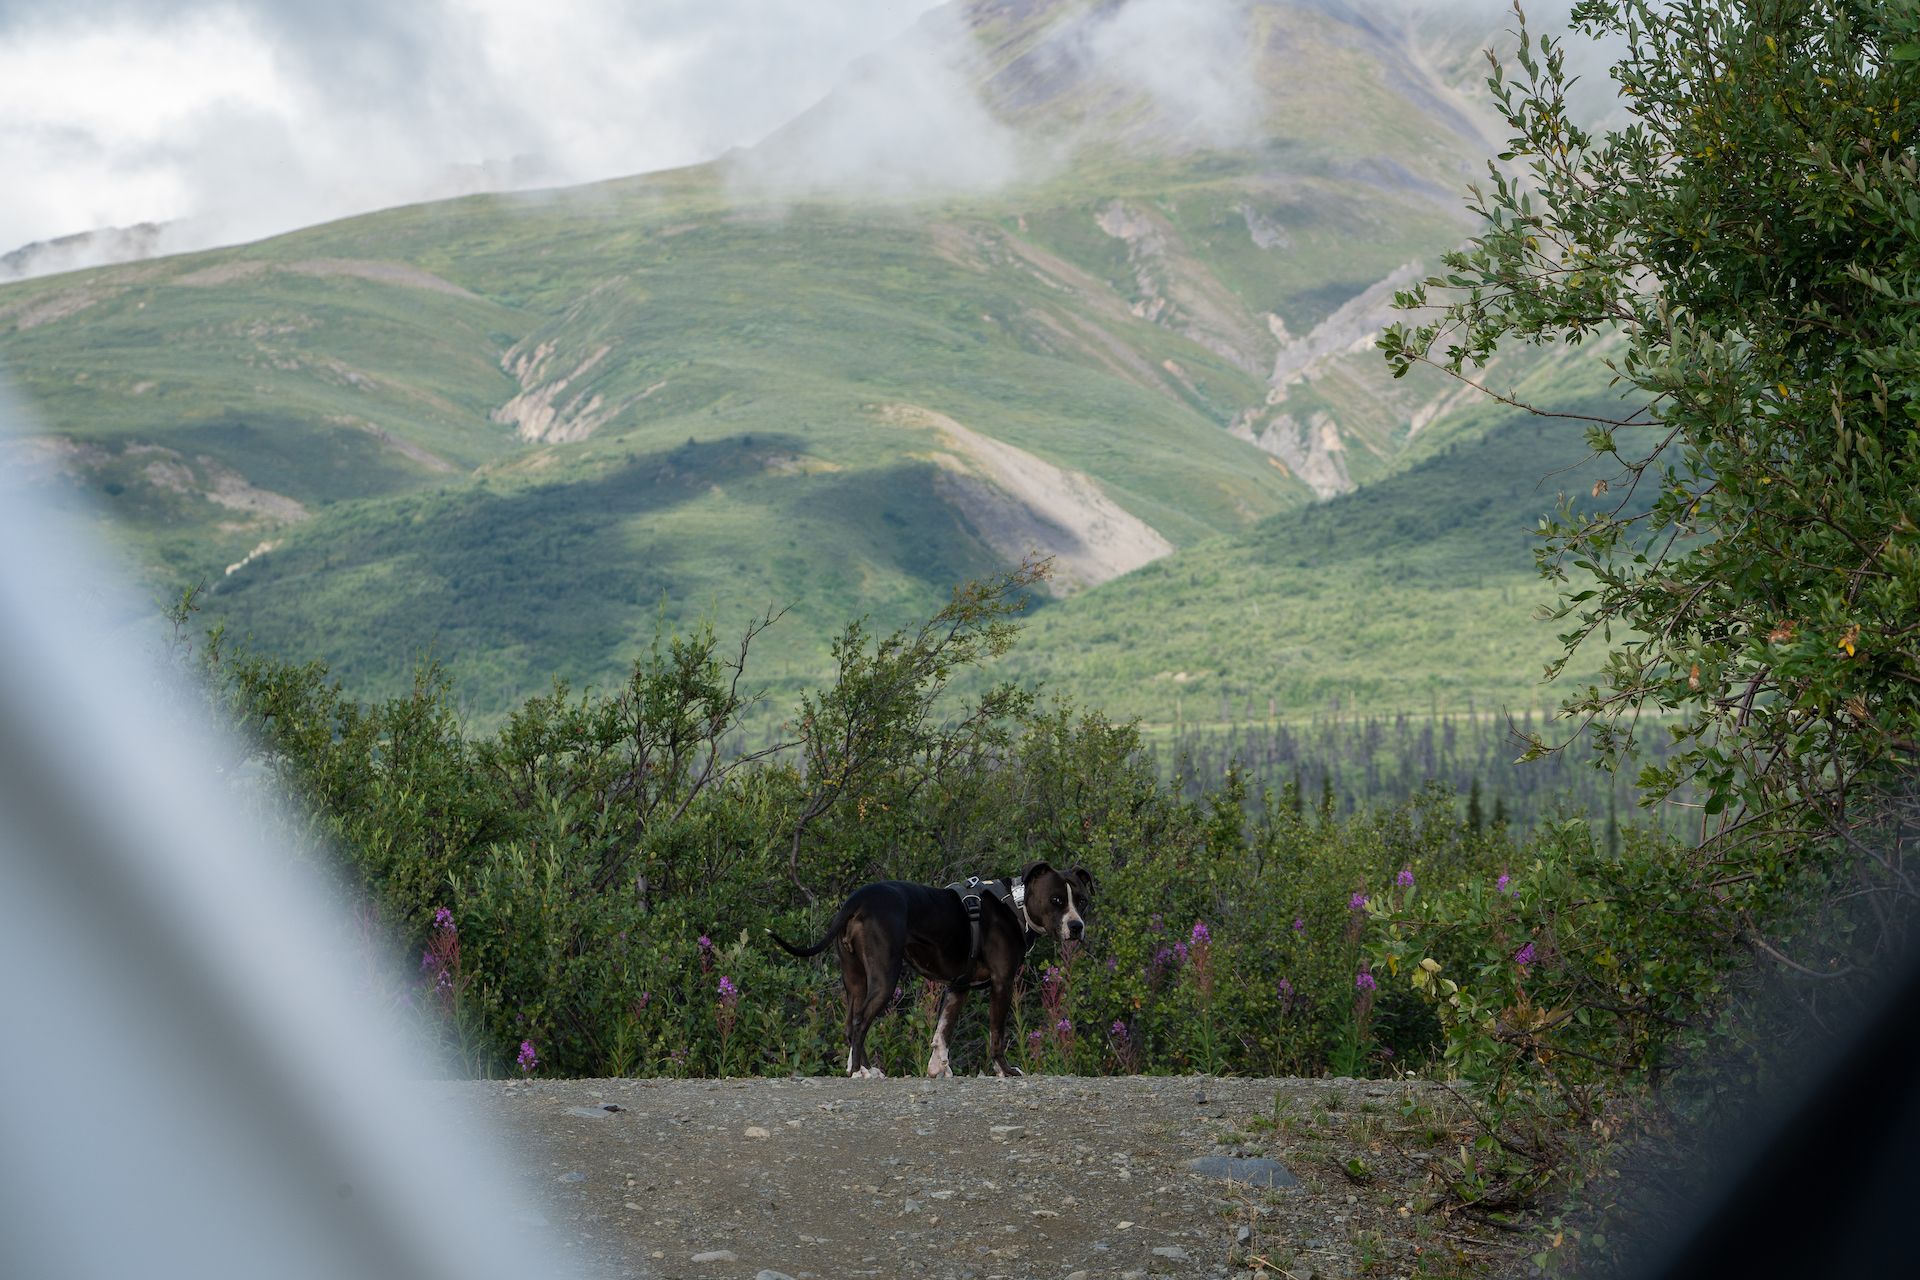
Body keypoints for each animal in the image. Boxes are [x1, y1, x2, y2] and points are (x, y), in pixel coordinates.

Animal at [768, 859, 1098, 1082]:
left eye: (1082, 900)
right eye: (1056, 900)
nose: (1076, 926)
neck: (1016, 905)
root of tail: (857, 899)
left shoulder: (958, 987)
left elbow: (943, 1030)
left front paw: (938, 1067)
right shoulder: (1002, 984)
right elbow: (996, 1034)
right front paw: (1004, 1070)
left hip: (855, 979)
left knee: (852, 1022)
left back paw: (861, 1067)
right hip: (885, 976)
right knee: (861, 1021)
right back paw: (860, 1071)